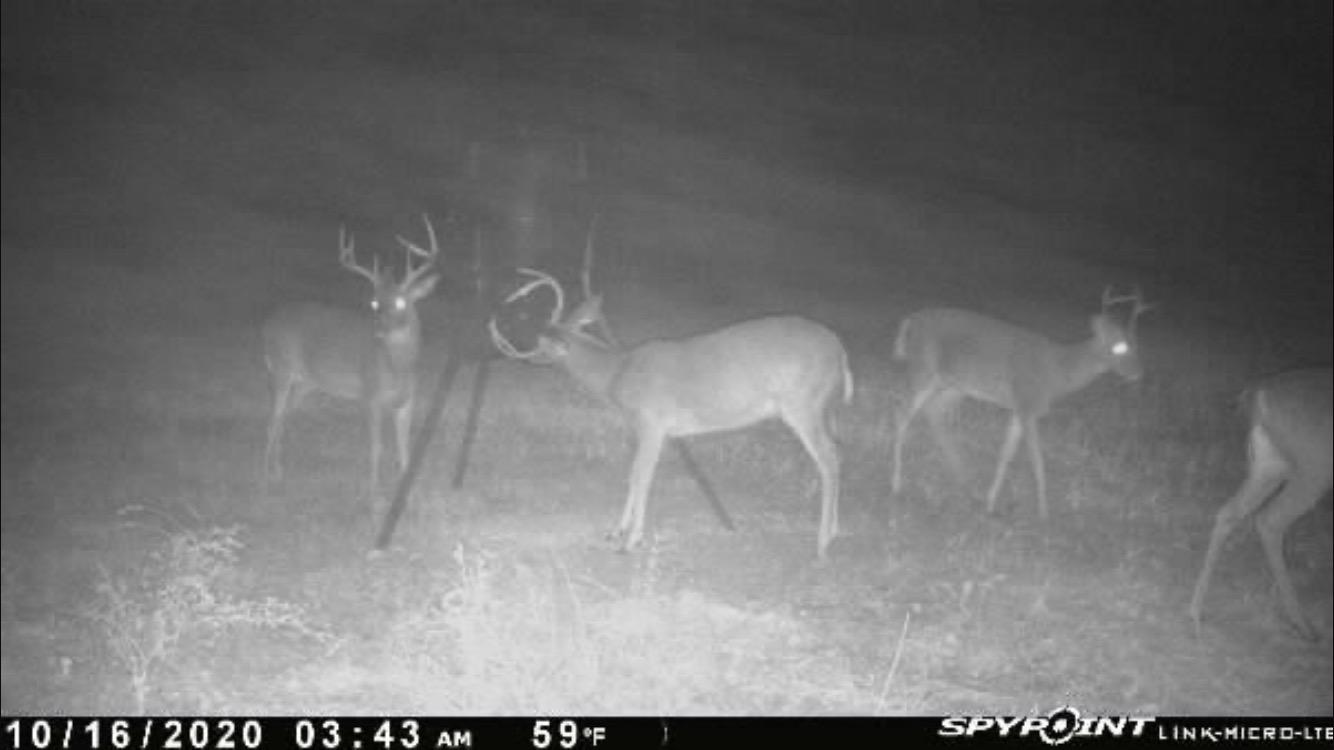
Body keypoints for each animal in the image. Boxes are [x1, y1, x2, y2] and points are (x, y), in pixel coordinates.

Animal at [262, 216, 441, 496]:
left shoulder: (407, 400)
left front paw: (407, 489)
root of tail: (266, 324)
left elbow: (405, 449)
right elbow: (376, 447)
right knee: (273, 418)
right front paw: (375, 493)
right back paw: (264, 476)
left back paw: (279, 471)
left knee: (284, 417)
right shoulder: (370, 395)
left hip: (305, 382)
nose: (380, 329)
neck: (397, 368)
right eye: (375, 302)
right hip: (281, 368)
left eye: (401, 302)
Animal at [487, 267, 853, 560]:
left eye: (543, 344)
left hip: (803, 404)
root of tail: (841, 351)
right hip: (824, 409)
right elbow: (632, 476)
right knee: (838, 453)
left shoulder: (653, 422)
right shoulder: (642, 427)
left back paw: (822, 543)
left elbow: (641, 476)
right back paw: (833, 532)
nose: (530, 357)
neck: (617, 374)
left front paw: (630, 541)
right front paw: (616, 531)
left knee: (829, 458)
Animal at [890, 288, 1152, 520]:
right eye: (1118, 347)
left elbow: (1005, 454)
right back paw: (896, 484)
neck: (1057, 372)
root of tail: (910, 321)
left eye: (1137, 345)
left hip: (954, 385)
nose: (1138, 374)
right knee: (902, 415)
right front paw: (1044, 513)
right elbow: (1037, 460)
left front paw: (990, 503)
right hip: (924, 368)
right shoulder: (1028, 404)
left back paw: (964, 479)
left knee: (934, 413)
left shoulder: (1018, 409)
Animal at [1189, 368, 1332, 638]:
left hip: (1270, 463)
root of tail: (1258, 394)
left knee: (1231, 512)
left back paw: (1196, 611)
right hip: (1314, 467)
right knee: (1270, 519)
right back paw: (1303, 625)